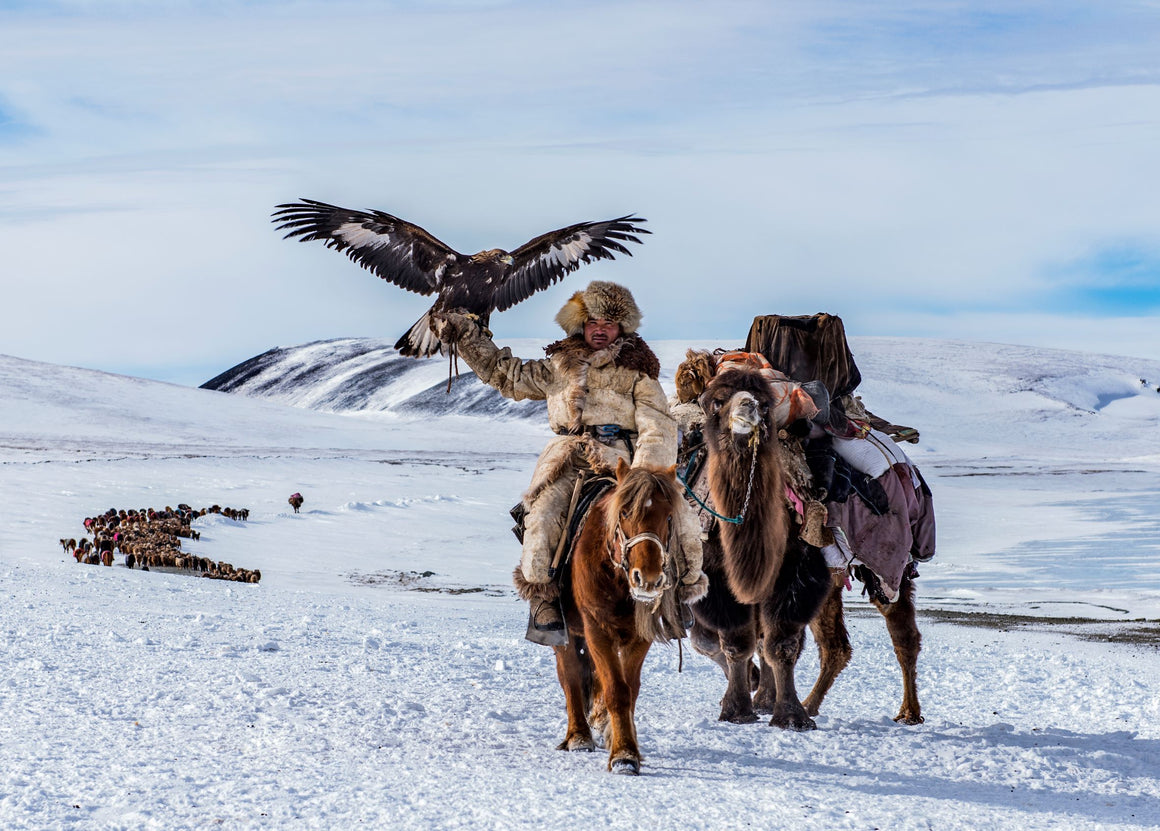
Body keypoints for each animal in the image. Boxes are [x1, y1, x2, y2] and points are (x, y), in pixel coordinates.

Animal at [549, 457, 677, 775]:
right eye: (625, 512)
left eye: (669, 516)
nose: (648, 580)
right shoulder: (596, 630)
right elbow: (615, 690)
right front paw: (623, 755)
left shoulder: (640, 636)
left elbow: (629, 690)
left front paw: (623, 743)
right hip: (563, 633)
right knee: (570, 675)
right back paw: (578, 735)